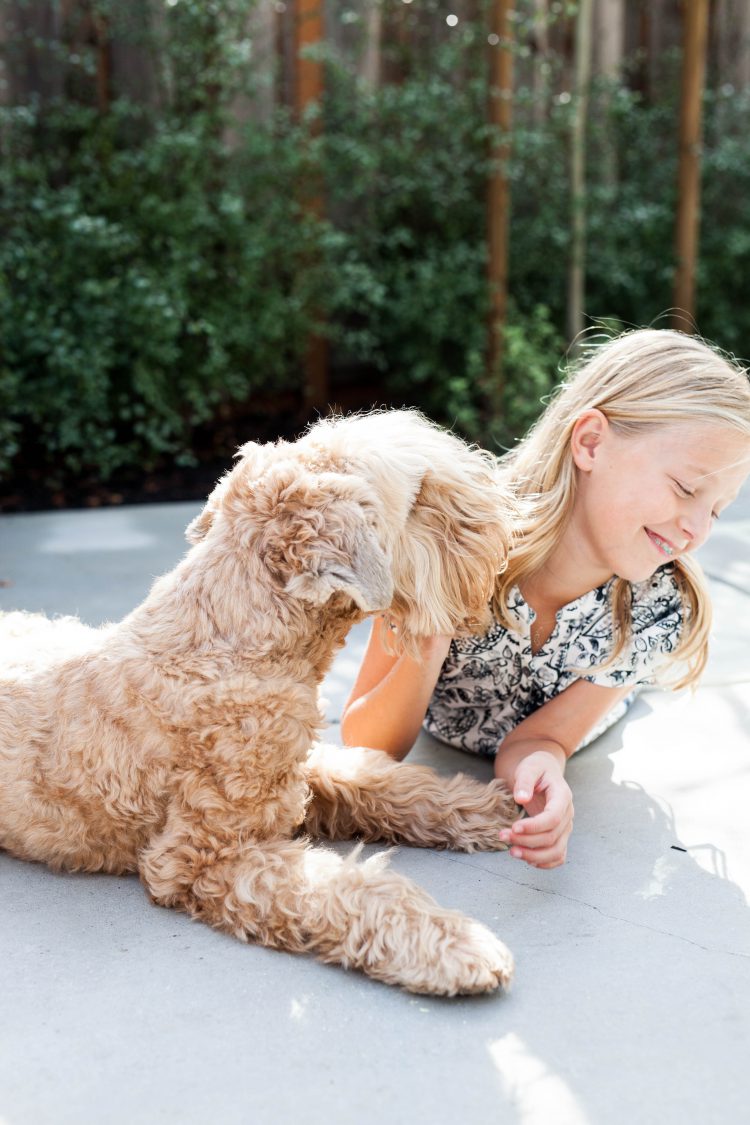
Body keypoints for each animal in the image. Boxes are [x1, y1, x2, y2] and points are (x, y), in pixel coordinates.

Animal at [0, 411, 521, 994]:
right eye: (421, 495)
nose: (507, 521)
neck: (235, 645)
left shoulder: (298, 773)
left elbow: (383, 784)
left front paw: (486, 806)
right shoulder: (206, 854)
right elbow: (345, 888)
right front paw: (453, 945)